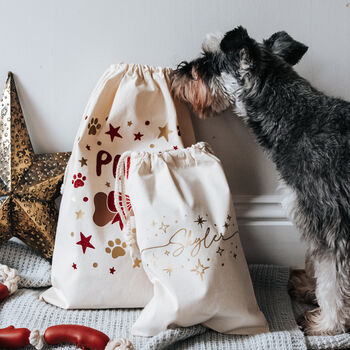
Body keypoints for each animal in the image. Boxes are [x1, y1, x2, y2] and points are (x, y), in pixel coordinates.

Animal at [172, 26, 350, 334]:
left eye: (209, 59)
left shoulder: (331, 224)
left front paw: (328, 324)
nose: (178, 72)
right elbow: (317, 266)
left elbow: (333, 280)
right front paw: (309, 287)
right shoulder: (313, 220)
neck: (297, 119)